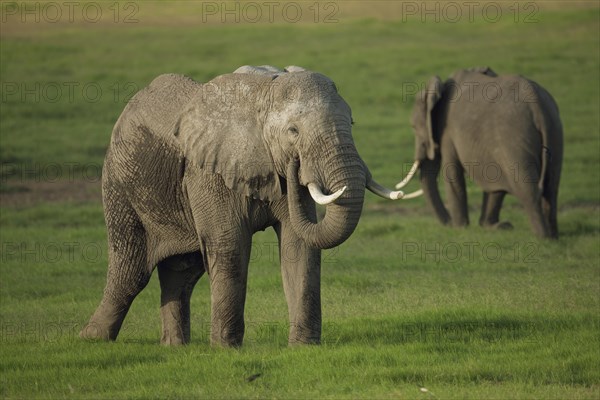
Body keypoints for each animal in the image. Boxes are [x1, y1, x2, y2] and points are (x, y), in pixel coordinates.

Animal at [81, 65, 408, 346]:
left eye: (351, 123)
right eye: (293, 131)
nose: (296, 164)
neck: (264, 93)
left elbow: (299, 246)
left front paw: (303, 347)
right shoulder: (209, 173)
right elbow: (230, 245)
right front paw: (225, 349)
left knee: (182, 273)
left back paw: (174, 347)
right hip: (120, 182)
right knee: (131, 271)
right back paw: (92, 338)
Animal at [398, 67, 564, 239]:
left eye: (414, 127)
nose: (448, 224)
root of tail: (538, 107)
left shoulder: (448, 132)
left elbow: (452, 174)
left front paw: (460, 229)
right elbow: (495, 179)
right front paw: (495, 227)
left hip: (514, 137)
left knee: (528, 190)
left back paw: (542, 238)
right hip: (554, 131)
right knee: (551, 188)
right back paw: (553, 236)